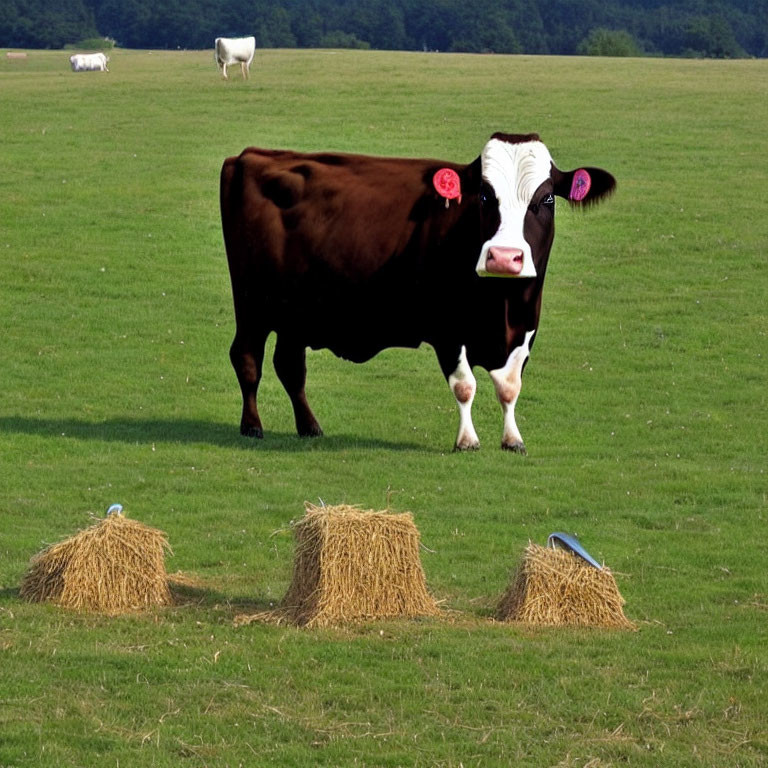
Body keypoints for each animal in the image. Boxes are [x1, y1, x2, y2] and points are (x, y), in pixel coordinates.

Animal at [219, 135, 616, 452]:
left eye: (547, 199)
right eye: (484, 195)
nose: (504, 257)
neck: (501, 304)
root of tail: (251, 156)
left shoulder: (525, 328)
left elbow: (509, 387)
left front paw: (512, 439)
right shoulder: (448, 330)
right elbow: (465, 386)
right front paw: (467, 441)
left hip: (295, 315)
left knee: (289, 366)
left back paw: (310, 426)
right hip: (252, 304)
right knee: (247, 358)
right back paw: (252, 426)